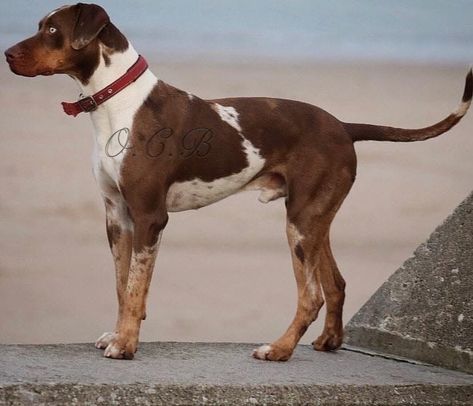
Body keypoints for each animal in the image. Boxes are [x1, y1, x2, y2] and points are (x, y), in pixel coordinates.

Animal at [4, 2, 472, 358]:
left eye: (51, 29)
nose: (7, 54)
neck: (116, 103)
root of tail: (343, 126)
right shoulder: (117, 215)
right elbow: (123, 287)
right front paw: (118, 335)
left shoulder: (150, 217)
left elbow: (136, 288)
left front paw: (127, 345)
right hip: (314, 219)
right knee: (335, 285)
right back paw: (327, 342)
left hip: (300, 223)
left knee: (312, 296)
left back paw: (279, 350)